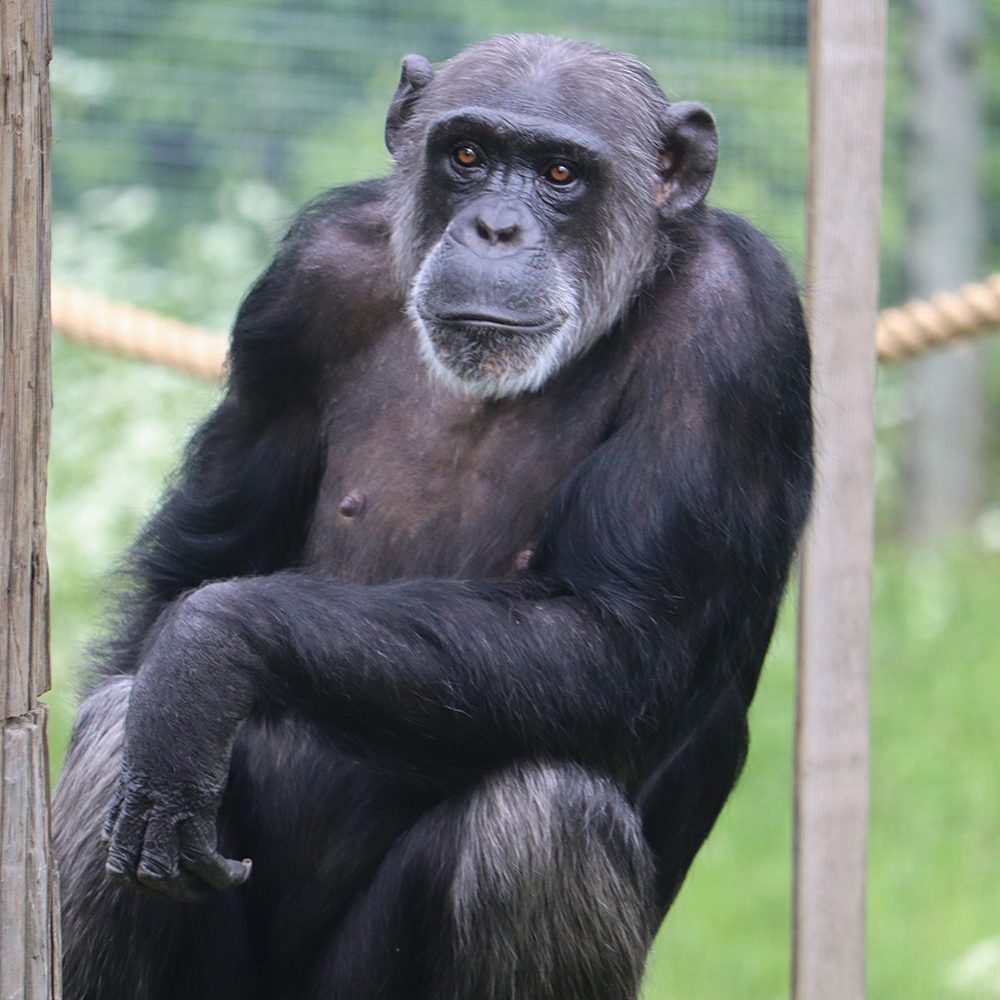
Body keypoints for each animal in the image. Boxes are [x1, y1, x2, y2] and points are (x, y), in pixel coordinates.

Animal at [52, 31, 812, 1000]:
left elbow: (620, 634)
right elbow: (191, 569)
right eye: (468, 156)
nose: (497, 228)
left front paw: (204, 656)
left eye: (560, 172)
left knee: (538, 826)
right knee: (114, 732)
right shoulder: (301, 289)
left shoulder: (735, 330)